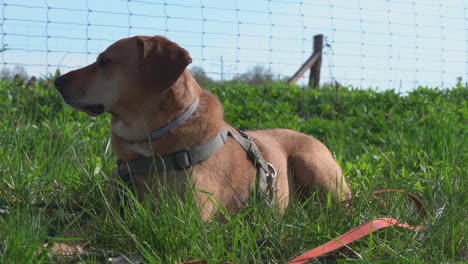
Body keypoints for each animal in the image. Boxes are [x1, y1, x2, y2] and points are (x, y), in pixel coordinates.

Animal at [54, 35, 350, 221]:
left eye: (104, 61)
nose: (57, 81)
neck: (148, 146)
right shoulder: (110, 213)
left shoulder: (186, 219)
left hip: (314, 166)